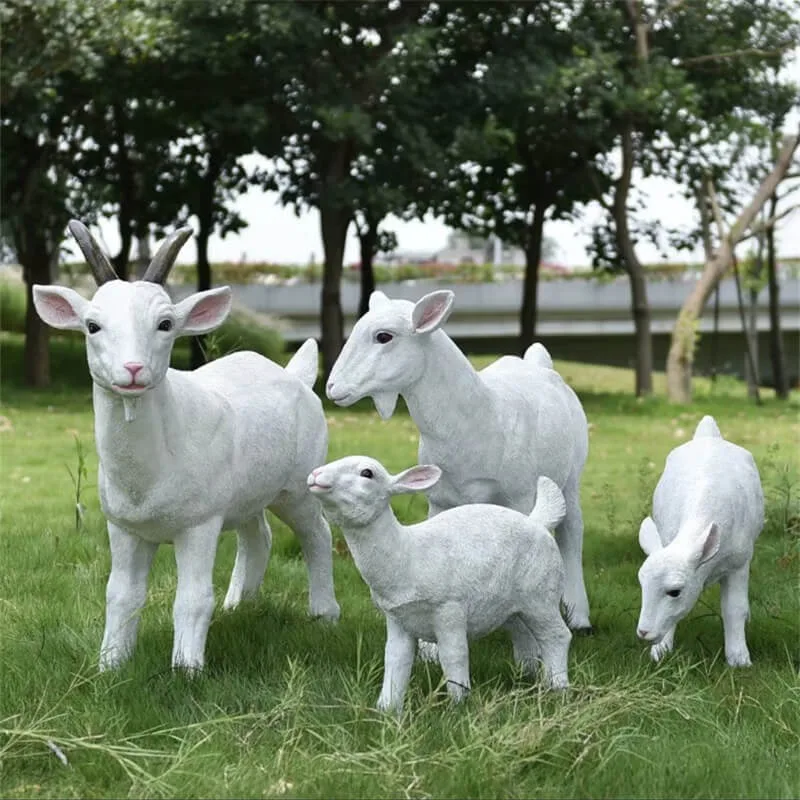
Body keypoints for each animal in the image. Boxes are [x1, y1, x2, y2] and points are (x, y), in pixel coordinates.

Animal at [32, 220, 340, 673]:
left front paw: (187, 670)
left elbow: (192, 599)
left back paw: (323, 614)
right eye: (92, 326)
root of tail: (295, 375)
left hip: (299, 486)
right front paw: (110, 665)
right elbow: (120, 594)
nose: (133, 370)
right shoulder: (123, 526)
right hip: (246, 494)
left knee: (316, 532)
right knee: (258, 535)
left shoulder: (200, 523)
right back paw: (239, 605)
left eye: (165, 324)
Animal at [308, 456, 572, 712]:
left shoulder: (450, 609)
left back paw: (557, 687)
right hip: (514, 606)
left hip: (542, 595)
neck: (407, 552)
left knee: (557, 635)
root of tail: (538, 522)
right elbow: (395, 658)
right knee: (524, 635)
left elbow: (453, 655)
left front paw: (458, 704)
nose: (315, 475)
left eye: (367, 473)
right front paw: (387, 708)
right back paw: (527, 675)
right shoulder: (397, 617)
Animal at [325, 289, 591, 661]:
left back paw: (580, 617)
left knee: (572, 532)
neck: (480, 418)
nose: (332, 387)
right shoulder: (439, 498)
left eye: (384, 336)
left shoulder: (521, 495)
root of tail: (537, 362)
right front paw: (428, 650)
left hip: (572, 474)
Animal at [636, 415, 764, 666]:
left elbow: (734, 608)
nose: (644, 632)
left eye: (675, 591)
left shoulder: (739, 562)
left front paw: (739, 659)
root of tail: (708, 434)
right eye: (641, 584)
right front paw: (660, 651)